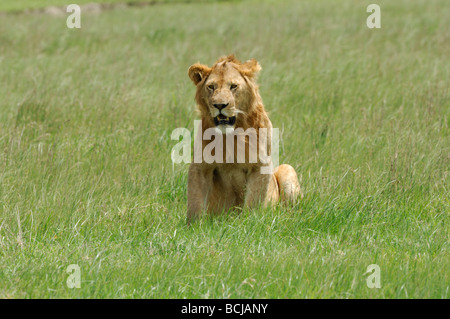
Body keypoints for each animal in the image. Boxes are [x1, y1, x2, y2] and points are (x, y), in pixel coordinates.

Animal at [186, 54, 302, 225]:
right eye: (211, 87)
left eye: (233, 86)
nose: (219, 105)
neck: (230, 136)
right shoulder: (200, 166)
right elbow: (195, 203)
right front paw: (193, 227)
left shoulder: (260, 164)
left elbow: (253, 202)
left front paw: (248, 224)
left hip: (287, 170)